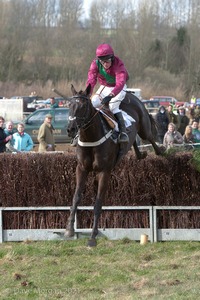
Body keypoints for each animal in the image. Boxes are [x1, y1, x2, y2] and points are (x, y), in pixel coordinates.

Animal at [65, 82, 162, 246]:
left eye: (83, 106)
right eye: (69, 105)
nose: (70, 129)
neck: (91, 138)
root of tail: (131, 94)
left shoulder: (104, 171)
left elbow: (98, 203)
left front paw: (92, 236)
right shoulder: (82, 169)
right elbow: (76, 197)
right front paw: (69, 229)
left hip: (144, 126)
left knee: (150, 137)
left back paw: (161, 151)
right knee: (133, 140)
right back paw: (139, 153)